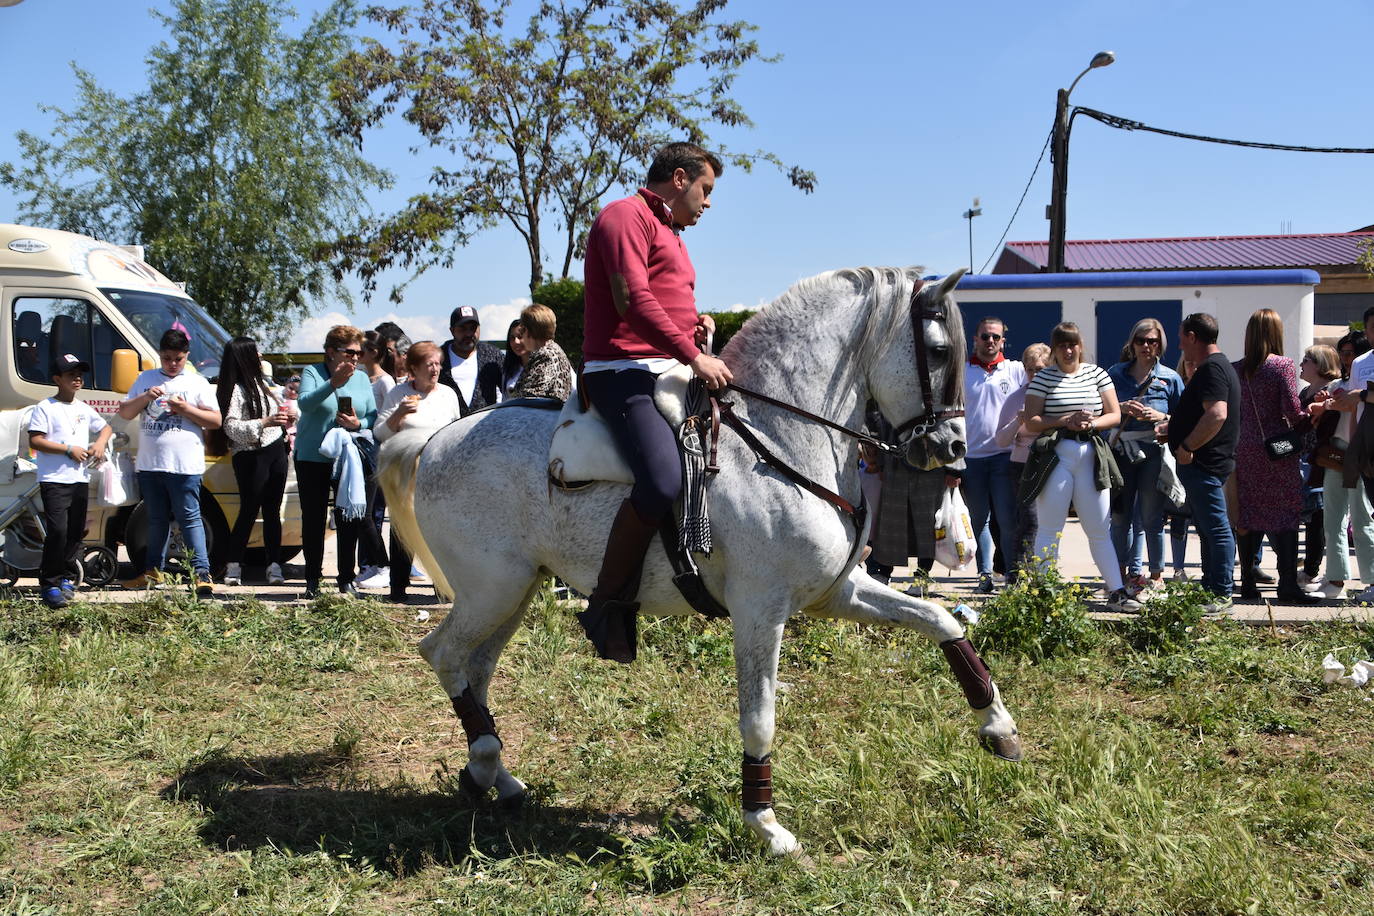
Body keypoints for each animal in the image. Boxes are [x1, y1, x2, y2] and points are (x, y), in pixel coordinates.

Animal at [376, 265, 1022, 862]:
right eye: (938, 351)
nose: (953, 450)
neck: (778, 439)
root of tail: (434, 439)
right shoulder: (760, 612)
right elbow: (758, 717)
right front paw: (766, 825)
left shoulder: (836, 592)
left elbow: (942, 620)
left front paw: (998, 727)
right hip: (493, 589)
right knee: (444, 655)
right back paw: (485, 763)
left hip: (513, 592)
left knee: (475, 668)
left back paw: (495, 776)